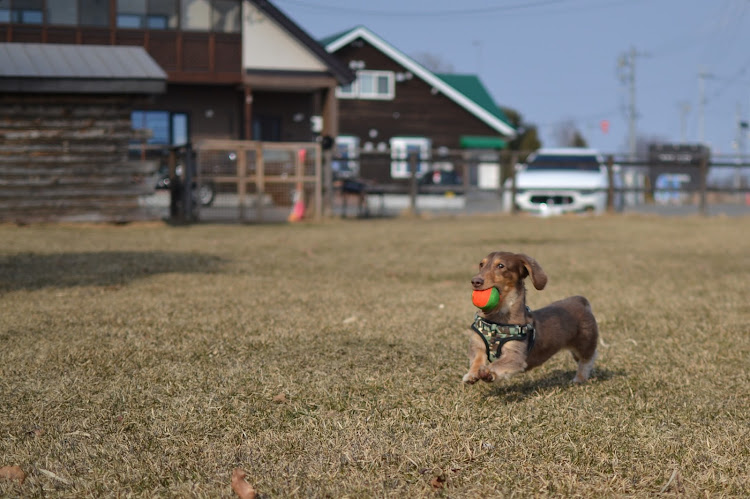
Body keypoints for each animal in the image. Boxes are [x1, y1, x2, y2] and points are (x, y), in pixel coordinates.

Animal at [464, 254, 600, 386]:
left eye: (501, 265)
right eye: (481, 264)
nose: (475, 281)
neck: (496, 321)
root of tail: (580, 301)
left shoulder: (515, 355)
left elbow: (499, 364)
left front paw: (488, 372)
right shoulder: (477, 344)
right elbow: (477, 359)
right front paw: (472, 374)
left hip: (584, 343)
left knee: (587, 359)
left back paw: (579, 378)